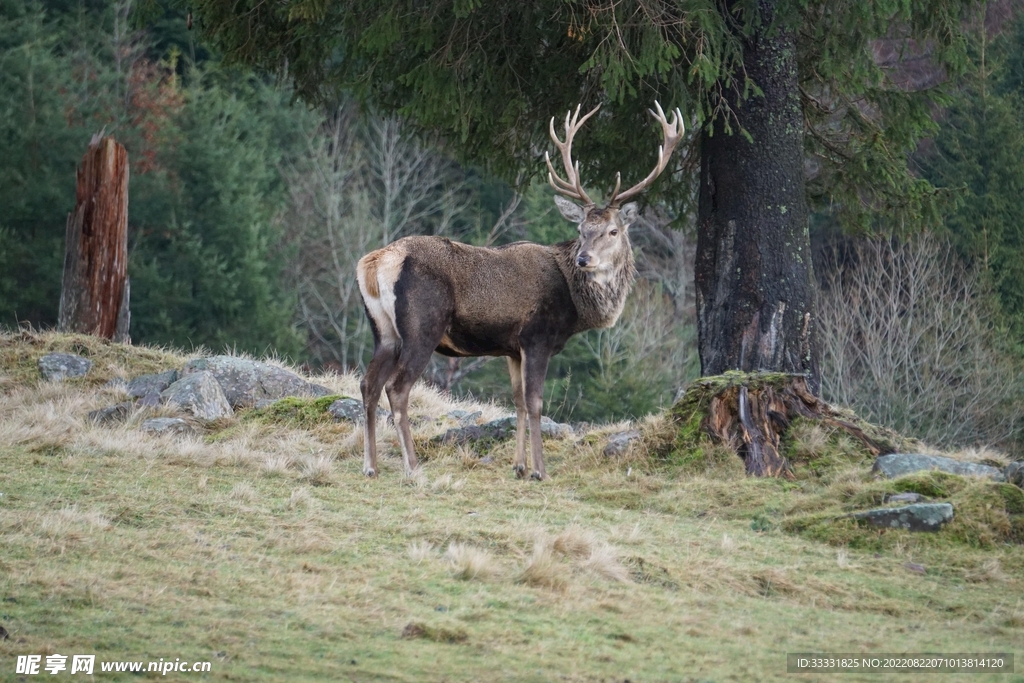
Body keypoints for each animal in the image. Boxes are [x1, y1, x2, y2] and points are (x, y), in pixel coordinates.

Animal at [356, 101, 683, 480]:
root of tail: (374, 263)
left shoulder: (512, 348)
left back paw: (370, 466)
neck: (575, 307)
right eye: (582, 229)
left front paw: (519, 466)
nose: (584, 258)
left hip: (383, 331)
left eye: (612, 231)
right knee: (397, 388)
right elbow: (536, 401)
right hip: (422, 325)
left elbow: (517, 402)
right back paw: (413, 467)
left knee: (368, 384)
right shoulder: (537, 336)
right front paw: (541, 470)